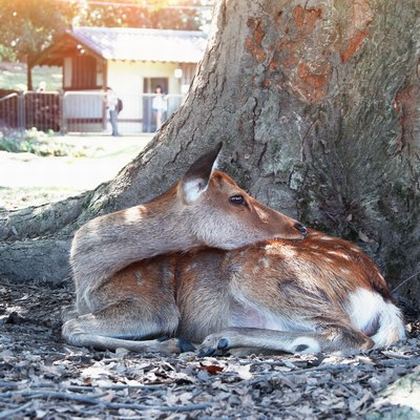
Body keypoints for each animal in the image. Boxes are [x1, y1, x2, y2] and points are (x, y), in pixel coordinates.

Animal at [61, 144, 404, 354]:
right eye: (237, 198)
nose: (299, 226)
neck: (90, 278)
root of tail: (383, 297)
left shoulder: (151, 302)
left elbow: (70, 326)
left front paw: (169, 344)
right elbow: (68, 317)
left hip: (258, 273)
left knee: (351, 336)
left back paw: (219, 339)